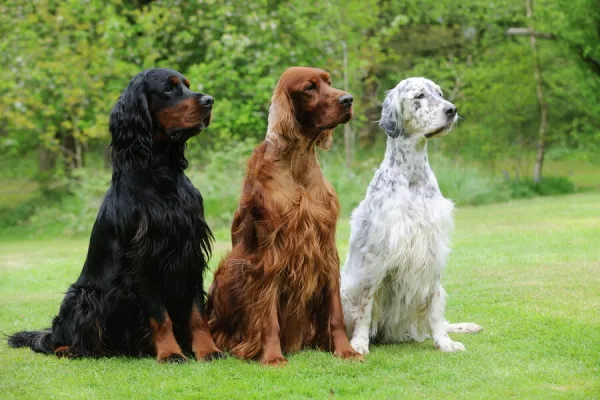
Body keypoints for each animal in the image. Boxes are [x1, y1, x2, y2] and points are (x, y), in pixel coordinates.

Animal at [8, 68, 224, 362]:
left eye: (187, 85)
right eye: (169, 89)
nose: (210, 101)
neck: (160, 174)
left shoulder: (189, 249)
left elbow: (196, 312)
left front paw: (207, 349)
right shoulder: (143, 255)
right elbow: (160, 315)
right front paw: (170, 353)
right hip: (85, 297)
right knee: (55, 342)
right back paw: (75, 350)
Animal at [209, 66, 364, 366]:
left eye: (329, 81)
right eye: (309, 88)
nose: (348, 99)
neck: (297, 163)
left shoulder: (325, 248)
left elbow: (335, 312)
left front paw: (345, 349)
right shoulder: (271, 253)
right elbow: (268, 315)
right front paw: (271, 356)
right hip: (229, 270)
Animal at [340, 76, 480, 354]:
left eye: (439, 94)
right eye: (419, 96)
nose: (451, 110)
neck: (413, 176)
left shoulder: (432, 247)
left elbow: (435, 308)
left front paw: (444, 342)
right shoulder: (375, 255)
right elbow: (365, 307)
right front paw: (359, 343)